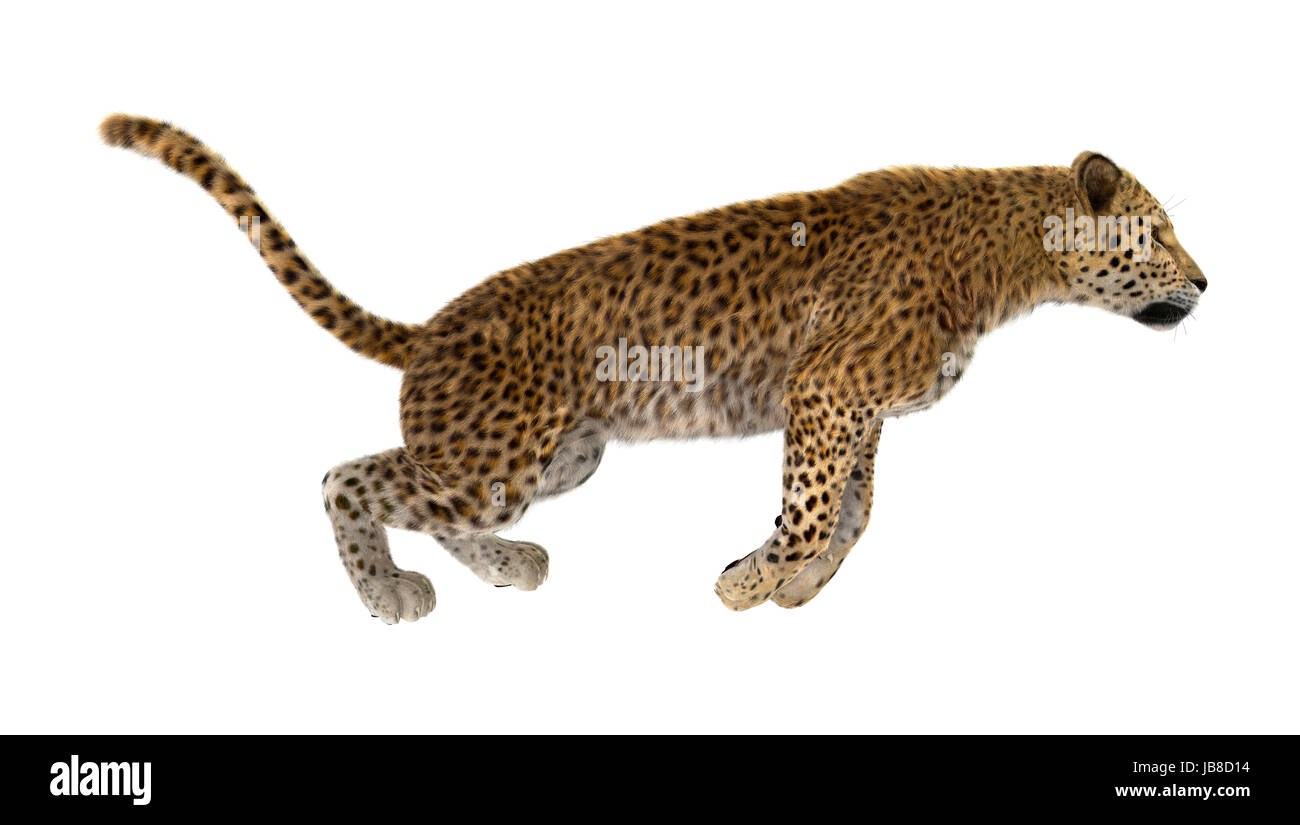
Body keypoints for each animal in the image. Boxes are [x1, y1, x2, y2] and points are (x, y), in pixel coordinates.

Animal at [100, 114, 1206, 622]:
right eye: (1155, 233)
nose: (1205, 280)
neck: (1013, 260)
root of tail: (428, 330)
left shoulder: (863, 409)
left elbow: (853, 511)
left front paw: (794, 585)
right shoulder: (827, 389)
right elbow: (813, 505)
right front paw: (753, 576)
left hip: (558, 457)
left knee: (409, 492)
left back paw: (504, 569)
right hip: (503, 457)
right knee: (346, 479)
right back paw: (388, 596)